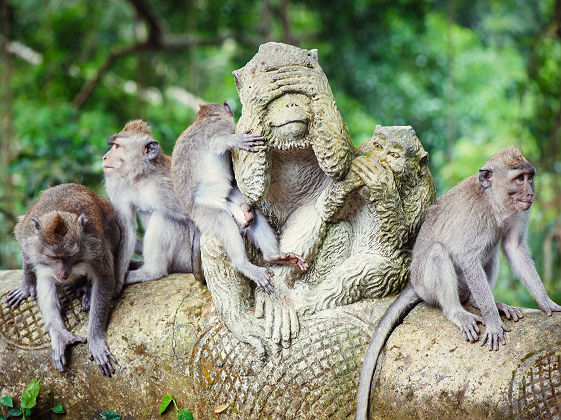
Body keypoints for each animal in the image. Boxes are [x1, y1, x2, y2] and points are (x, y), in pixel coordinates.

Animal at [6, 185, 120, 376]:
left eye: (70, 256)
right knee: (46, 278)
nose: (64, 273)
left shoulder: (94, 246)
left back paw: (86, 289)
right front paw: (27, 285)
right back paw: (60, 334)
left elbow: (104, 277)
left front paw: (95, 338)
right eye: (54, 257)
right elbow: (26, 253)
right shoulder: (27, 235)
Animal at [103, 120, 203, 288]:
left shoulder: (168, 188)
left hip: (184, 259)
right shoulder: (121, 188)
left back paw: (152, 272)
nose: (105, 157)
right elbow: (127, 230)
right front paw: (117, 283)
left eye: (117, 146)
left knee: (164, 218)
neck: (142, 177)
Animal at [172, 102, 308, 294]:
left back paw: (273, 256)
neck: (204, 117)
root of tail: (192, 215)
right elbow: (215, 142)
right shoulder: (217, 125)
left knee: (249, 213)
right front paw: (237, 141)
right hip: (204, 213)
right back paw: (243, 264)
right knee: (223, 221)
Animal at [356, 147, 560, 416]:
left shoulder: (517, 212)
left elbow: (513, 247)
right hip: (427, 285)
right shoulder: (477, 217)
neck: (494, 203)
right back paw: (458, 311)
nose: (530, 192)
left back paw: (482, 302)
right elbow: (468, 257)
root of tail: (413, 283)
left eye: (530, 176)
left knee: (491, 253)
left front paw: (546, 302)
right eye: (519, 179)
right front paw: (493, 323)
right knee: (439, 252)